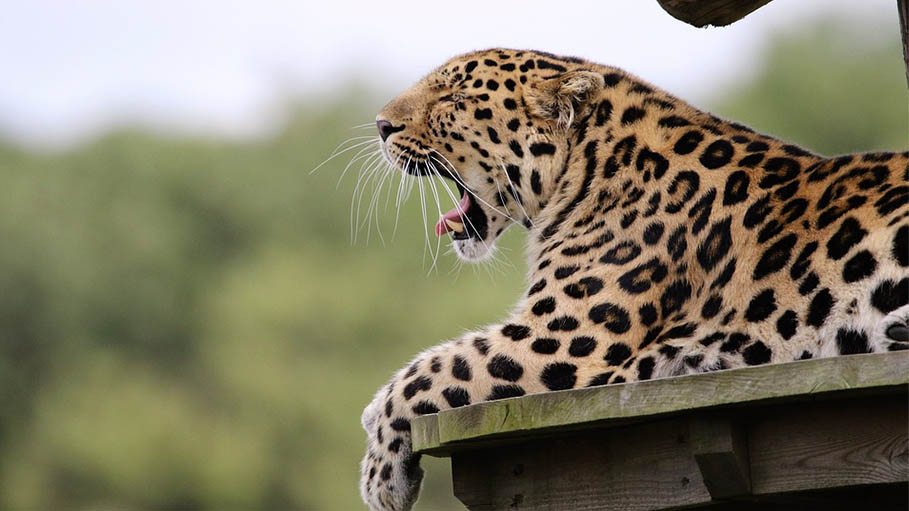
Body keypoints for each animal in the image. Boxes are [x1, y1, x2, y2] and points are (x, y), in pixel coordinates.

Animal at [357, 48, 909, 511]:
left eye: (454, 99)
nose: (381, 125)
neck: (587, 168)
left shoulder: (561, 339)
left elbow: (430, 369)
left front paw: (379, 474)